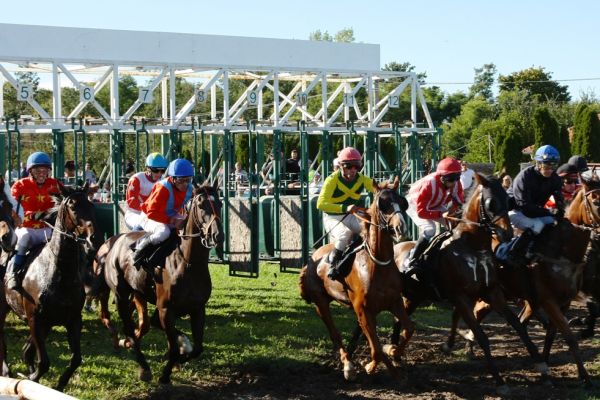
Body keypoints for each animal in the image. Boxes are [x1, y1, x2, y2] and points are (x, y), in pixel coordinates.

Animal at [0, 186, 101, 392]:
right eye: (73, 206)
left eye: (91, 205)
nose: (93, 238)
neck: (59, 271)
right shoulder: (35, 319)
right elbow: (44, 362)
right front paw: (32, 377)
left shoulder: (72, 319)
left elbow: (76, 359)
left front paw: (59, 383)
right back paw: (6, 371)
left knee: (27, 351)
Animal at [102, 180, 224, 382]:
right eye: (201, 205)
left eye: (220, 204)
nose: (217, 235)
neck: (188, 263)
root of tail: (114, 240)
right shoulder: (166, 309)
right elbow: (173, 347)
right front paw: (165, 374)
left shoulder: (198, 308)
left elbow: (197, 348)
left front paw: (180, 358)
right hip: (121, 295)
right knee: (130, 329)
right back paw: (143, 366)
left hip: (139, 293)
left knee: (142, 326)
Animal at [298, 178, 412, 382]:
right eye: (383, 203)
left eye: (402, 201)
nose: (401, 228)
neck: (377, 264)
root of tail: (311, 260)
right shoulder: (363, 310)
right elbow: (376, 348)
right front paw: (372, 366)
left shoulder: (395, 302)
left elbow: (408, 329)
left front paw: (393, 353)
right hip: (321, 303)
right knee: (335, 334)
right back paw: (348, 365)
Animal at [392, 175, 552, 394]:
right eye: (491, 203)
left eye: (509, 201)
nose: (507, 234)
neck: (472, 247)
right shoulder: (461, 298)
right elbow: (482, 336)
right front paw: (500, 382)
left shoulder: (493, 293)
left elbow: (518, 325)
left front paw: (541, 365)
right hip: (407, 297)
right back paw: (393, 350)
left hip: (415, 297)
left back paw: (397, 351)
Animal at [446, 185, 592, 388]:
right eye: (596, 199)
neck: (562, 251)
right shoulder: (548, 300)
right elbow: (569, 337)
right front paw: (584, 377)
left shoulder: (564, 302)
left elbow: (551, 334)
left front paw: (545, 363)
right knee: (471, 313)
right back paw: (467, 347)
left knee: (478, 313)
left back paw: (469, 345)